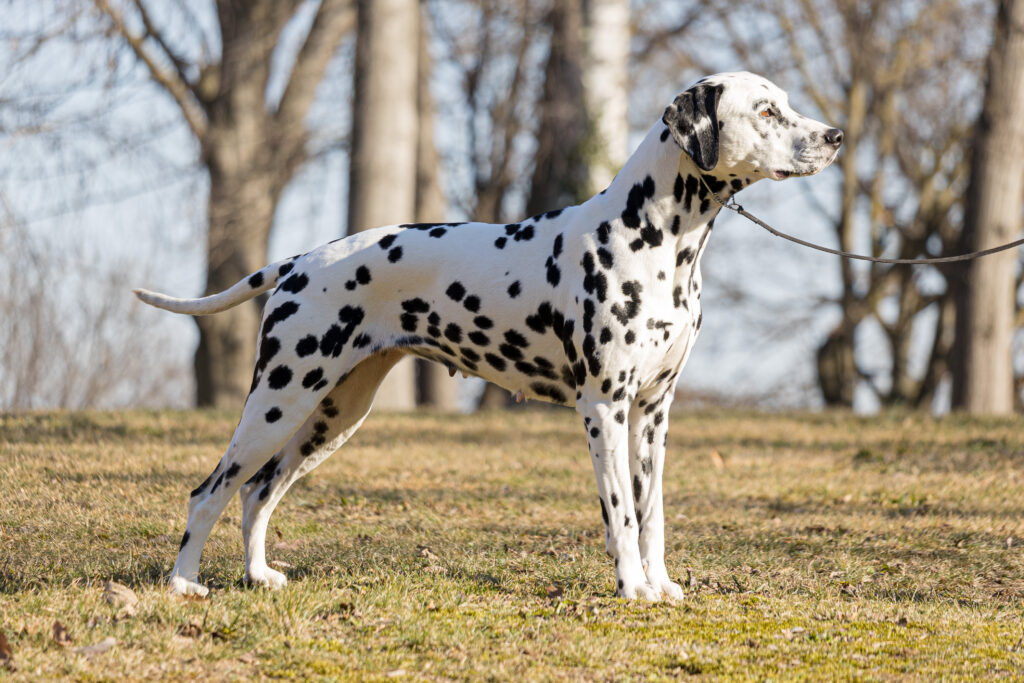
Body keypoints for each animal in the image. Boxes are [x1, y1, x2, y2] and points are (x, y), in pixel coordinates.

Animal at [134, 72, 839, 602]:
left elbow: (653, 516)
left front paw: (659, 584)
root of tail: (298, 262)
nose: (834, 136)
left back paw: (258, 576)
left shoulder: (652, 413)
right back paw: (183, 584)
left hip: (332, 415)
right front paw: (633, 589)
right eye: (768, 110)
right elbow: (620, 512)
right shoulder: (604, 408)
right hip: (278, 401)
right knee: (210, 492)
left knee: (258, 493)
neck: (657, 239)